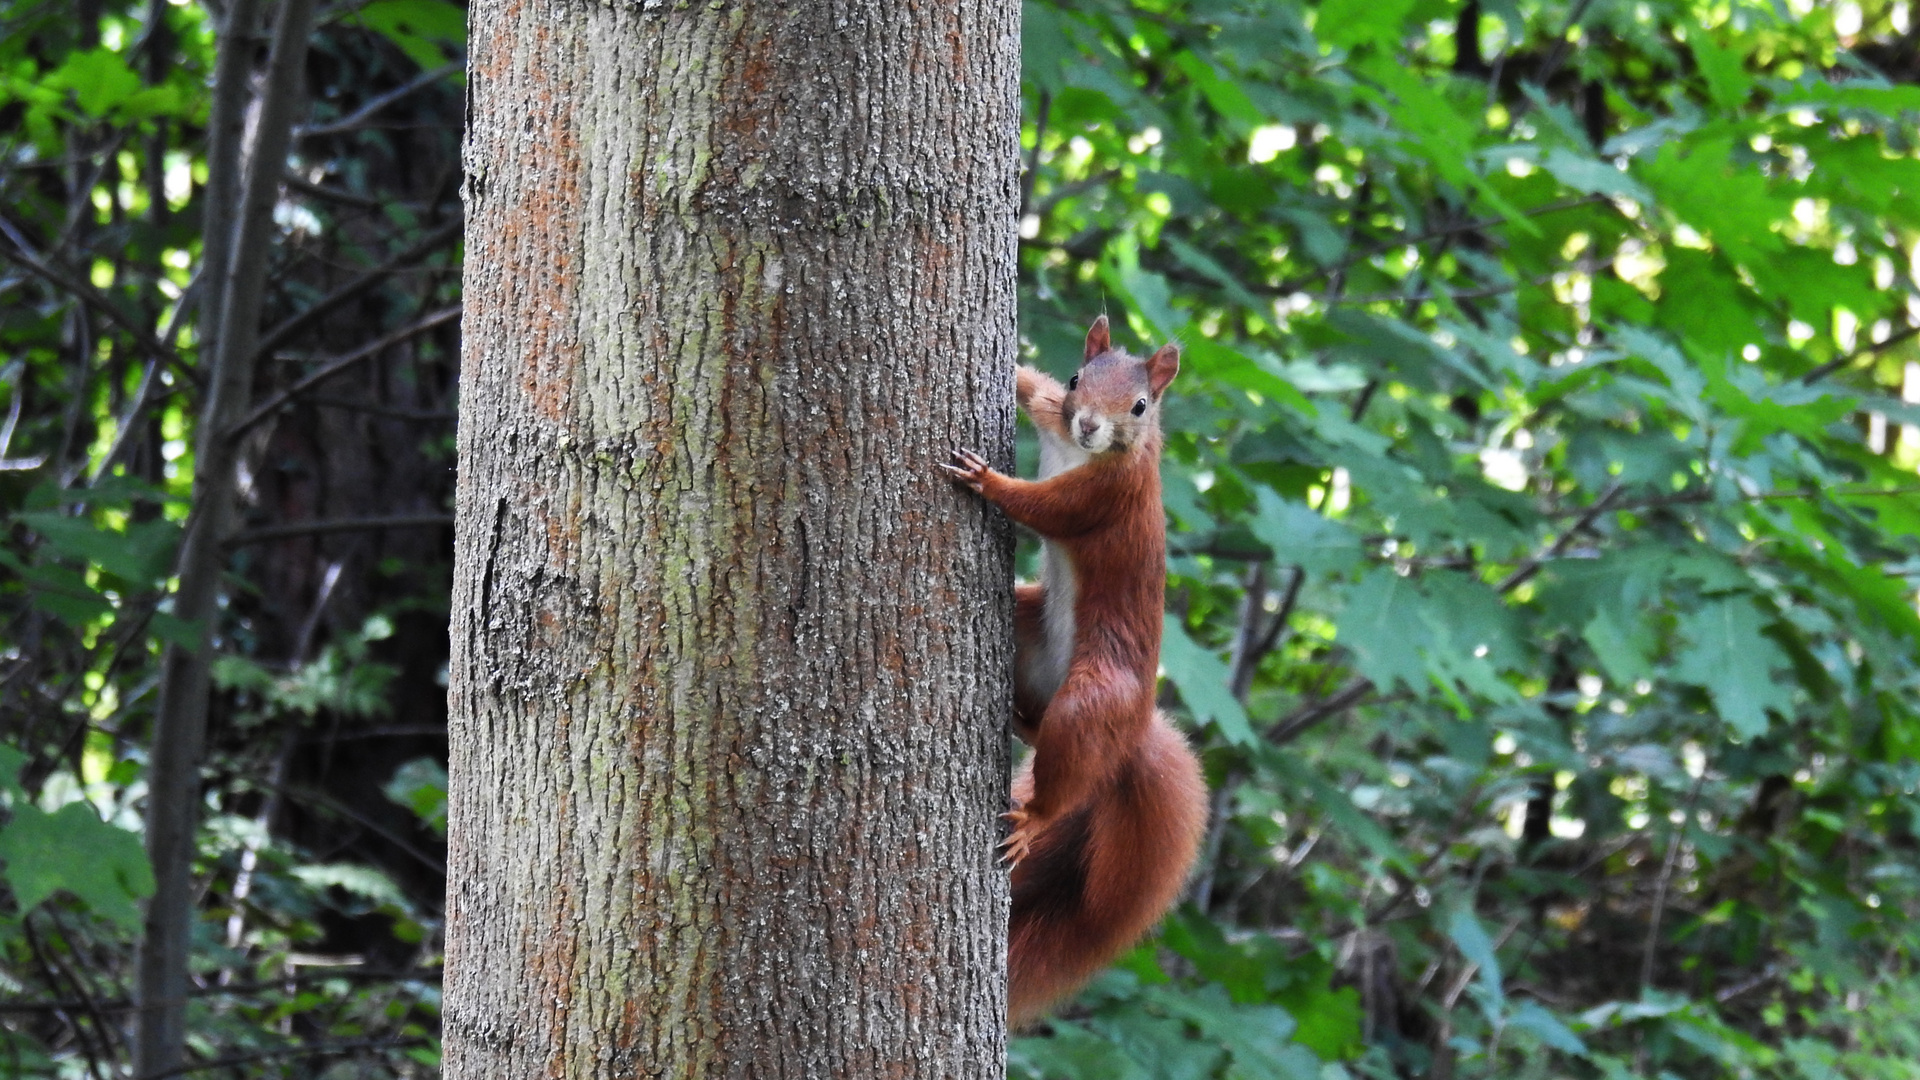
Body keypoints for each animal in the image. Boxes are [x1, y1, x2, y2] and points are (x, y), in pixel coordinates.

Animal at [948, 313, 1205, 1022]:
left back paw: (1034, 818)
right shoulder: (1050, 414)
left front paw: (988, 482)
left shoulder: (1104, 496)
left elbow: (1045, 509)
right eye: (1075, 378)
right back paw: (1019, 718)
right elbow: (1029, 387)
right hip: (1028, 626)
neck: (1085, 452)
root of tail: (1133, 735)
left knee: (1068, 759)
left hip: (1098, 695)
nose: (1089, 424)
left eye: (1141, 405)